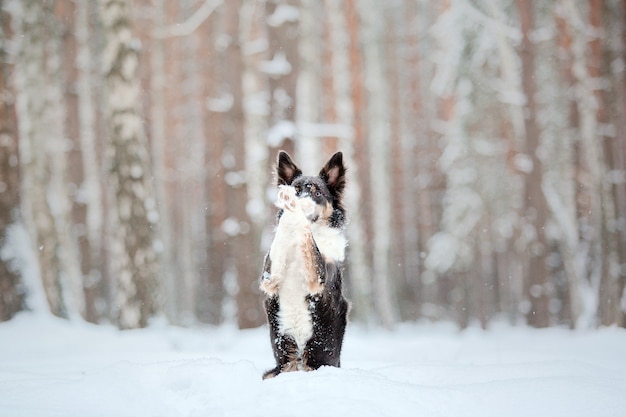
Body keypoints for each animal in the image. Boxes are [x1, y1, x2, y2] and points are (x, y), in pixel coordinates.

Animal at [258, 151, 348, 378]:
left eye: (317, 192)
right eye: (297, 190)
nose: (301, 201)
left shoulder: (318, 276)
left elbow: (309, 238)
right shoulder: (268, 277)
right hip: (276, 369)